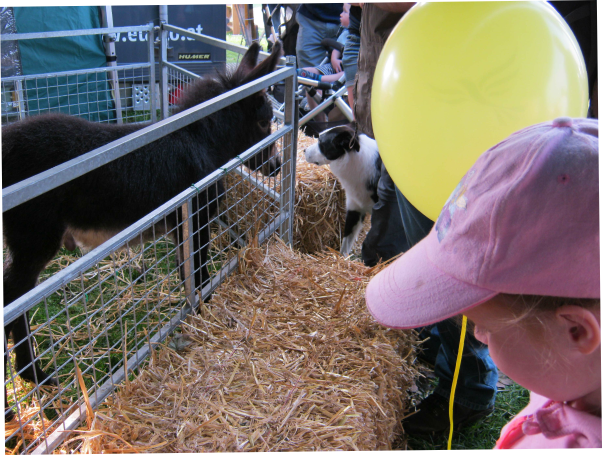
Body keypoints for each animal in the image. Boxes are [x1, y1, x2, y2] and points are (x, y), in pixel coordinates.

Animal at [2, 42, 282, 421]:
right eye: (264, 121)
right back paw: (32, 379)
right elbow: (200, 271)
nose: (277, 167)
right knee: (14, 301)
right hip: (35, 240)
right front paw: (207, 310)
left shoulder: (181, 226)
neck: (202, 140)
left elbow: (187, 272)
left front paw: (194, 311)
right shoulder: (196, 217)